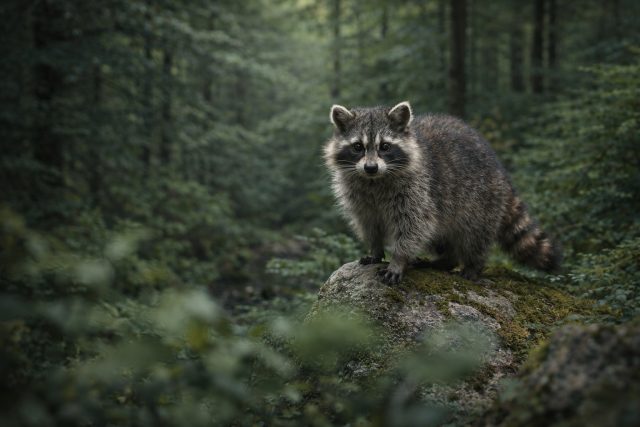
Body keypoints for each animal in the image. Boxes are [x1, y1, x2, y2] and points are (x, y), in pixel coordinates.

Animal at [324, 101, 561, 284]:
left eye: (385, 146)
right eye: (357, 147)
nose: (370, 168)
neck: (374, 181)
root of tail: (501, 172)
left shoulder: (418, 191)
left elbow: (413, 226)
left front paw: (398, 260)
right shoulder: (359, 198)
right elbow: (369, 223)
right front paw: (375, 249)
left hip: (481, 202)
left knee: (473, 235)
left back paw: (473, 265)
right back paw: (446, 260)